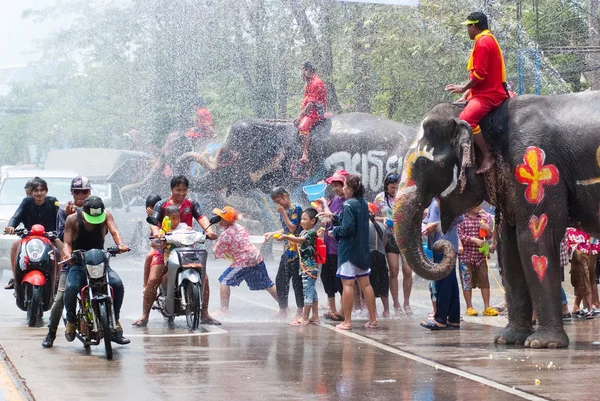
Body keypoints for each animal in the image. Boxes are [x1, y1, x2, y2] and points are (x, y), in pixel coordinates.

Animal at [392, 90, 600, 346]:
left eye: (423, 163)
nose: (440, 244)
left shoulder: (536, 170)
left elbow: (535, 239)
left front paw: (543, 344)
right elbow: (510, 247)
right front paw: (507, 340)